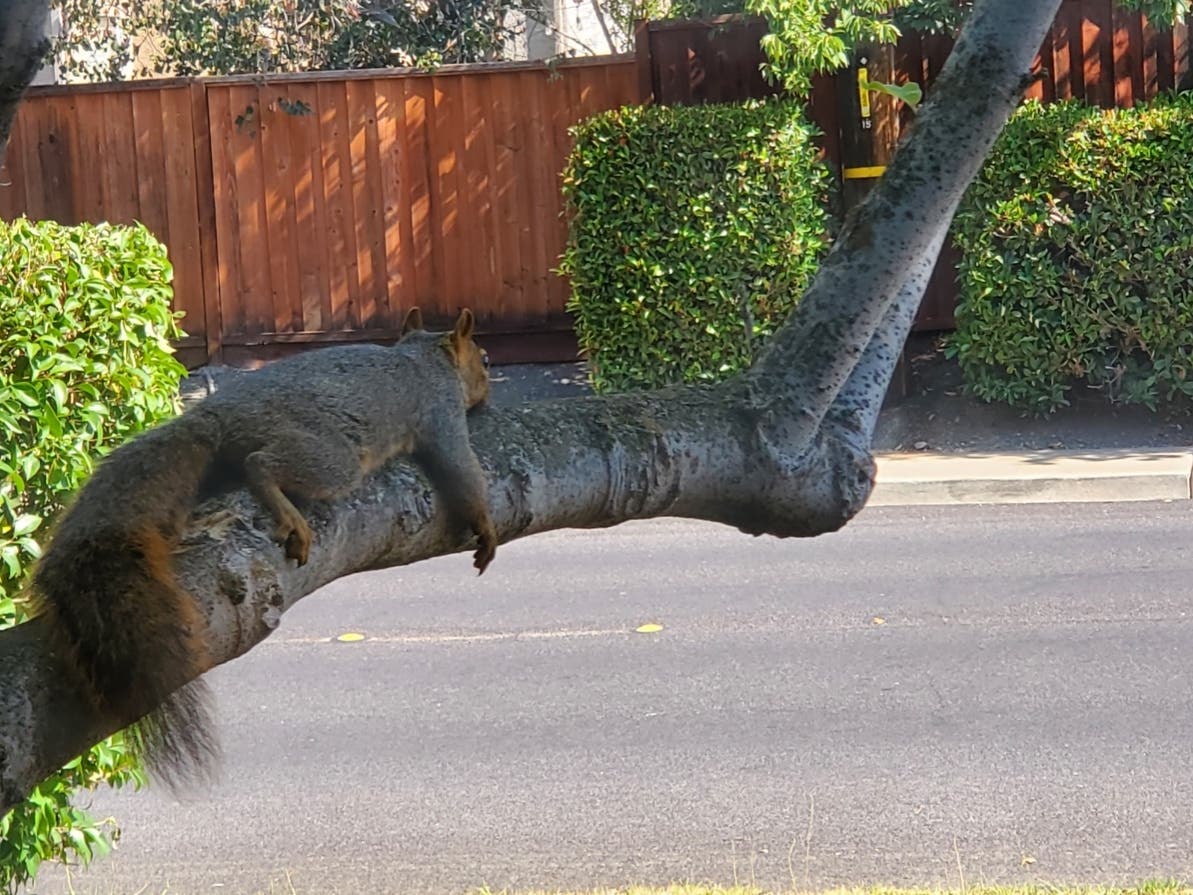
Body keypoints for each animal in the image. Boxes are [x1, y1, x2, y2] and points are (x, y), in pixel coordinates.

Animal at [28, 308, 498, 784]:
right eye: (484, 360)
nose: (489, 392)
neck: (424, 356)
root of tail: (217, 415)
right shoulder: (440, 409)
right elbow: (460, 469)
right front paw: (485, 528)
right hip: (331, 457)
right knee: (261, 464)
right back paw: (288, 513)